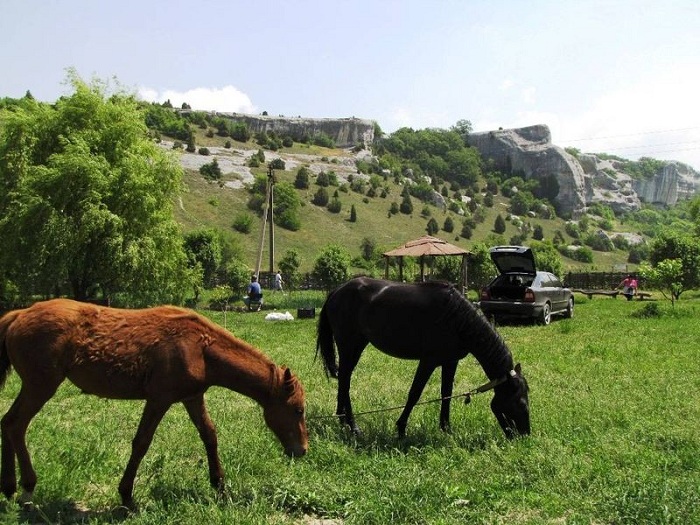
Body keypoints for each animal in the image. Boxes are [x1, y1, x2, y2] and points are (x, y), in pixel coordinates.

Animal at [0, 298, 306, 508]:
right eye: (298, 410)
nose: (302, 450)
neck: (201, 347)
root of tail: (19, 314)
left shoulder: (192, 397)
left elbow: (209, 435)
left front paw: (220, 486)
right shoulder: (159, 399)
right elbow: (141, 443)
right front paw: (126, 495)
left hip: (34, 387)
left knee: (7, 422)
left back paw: (9, 487)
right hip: (41, 386)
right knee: (17, 425)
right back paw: (27, 488)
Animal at [318, 276, 532, 440]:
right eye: (521, 404)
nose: (524, 435)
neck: (456, 319)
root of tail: (337, 290)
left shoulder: (450, 362)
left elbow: (446, 393)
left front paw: (446, 429)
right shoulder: (428, 362)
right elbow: (415, 394)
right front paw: (401, 428)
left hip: (357, 346)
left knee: (344, 380)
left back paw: (343, 421)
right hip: (349, 346)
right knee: (345, 380)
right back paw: (353, 427)